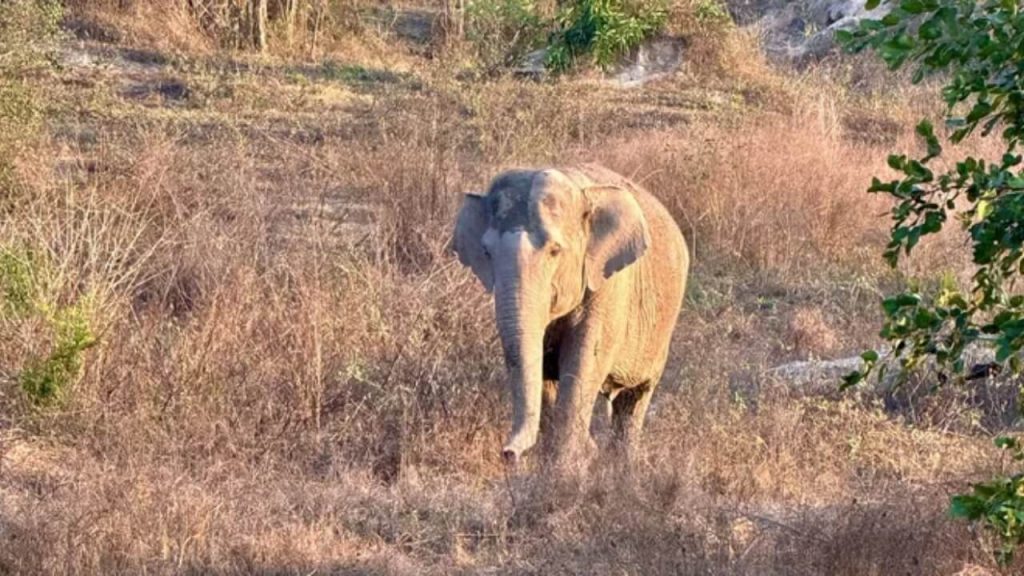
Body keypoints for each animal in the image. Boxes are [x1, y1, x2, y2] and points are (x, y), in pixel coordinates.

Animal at [453, 163, 689, 467]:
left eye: (555, 251)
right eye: (486, 252)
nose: (509, 453)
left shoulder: (607, 288)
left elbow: (582, 361)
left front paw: (567, 468)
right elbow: (542, 371)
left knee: (634, 399)